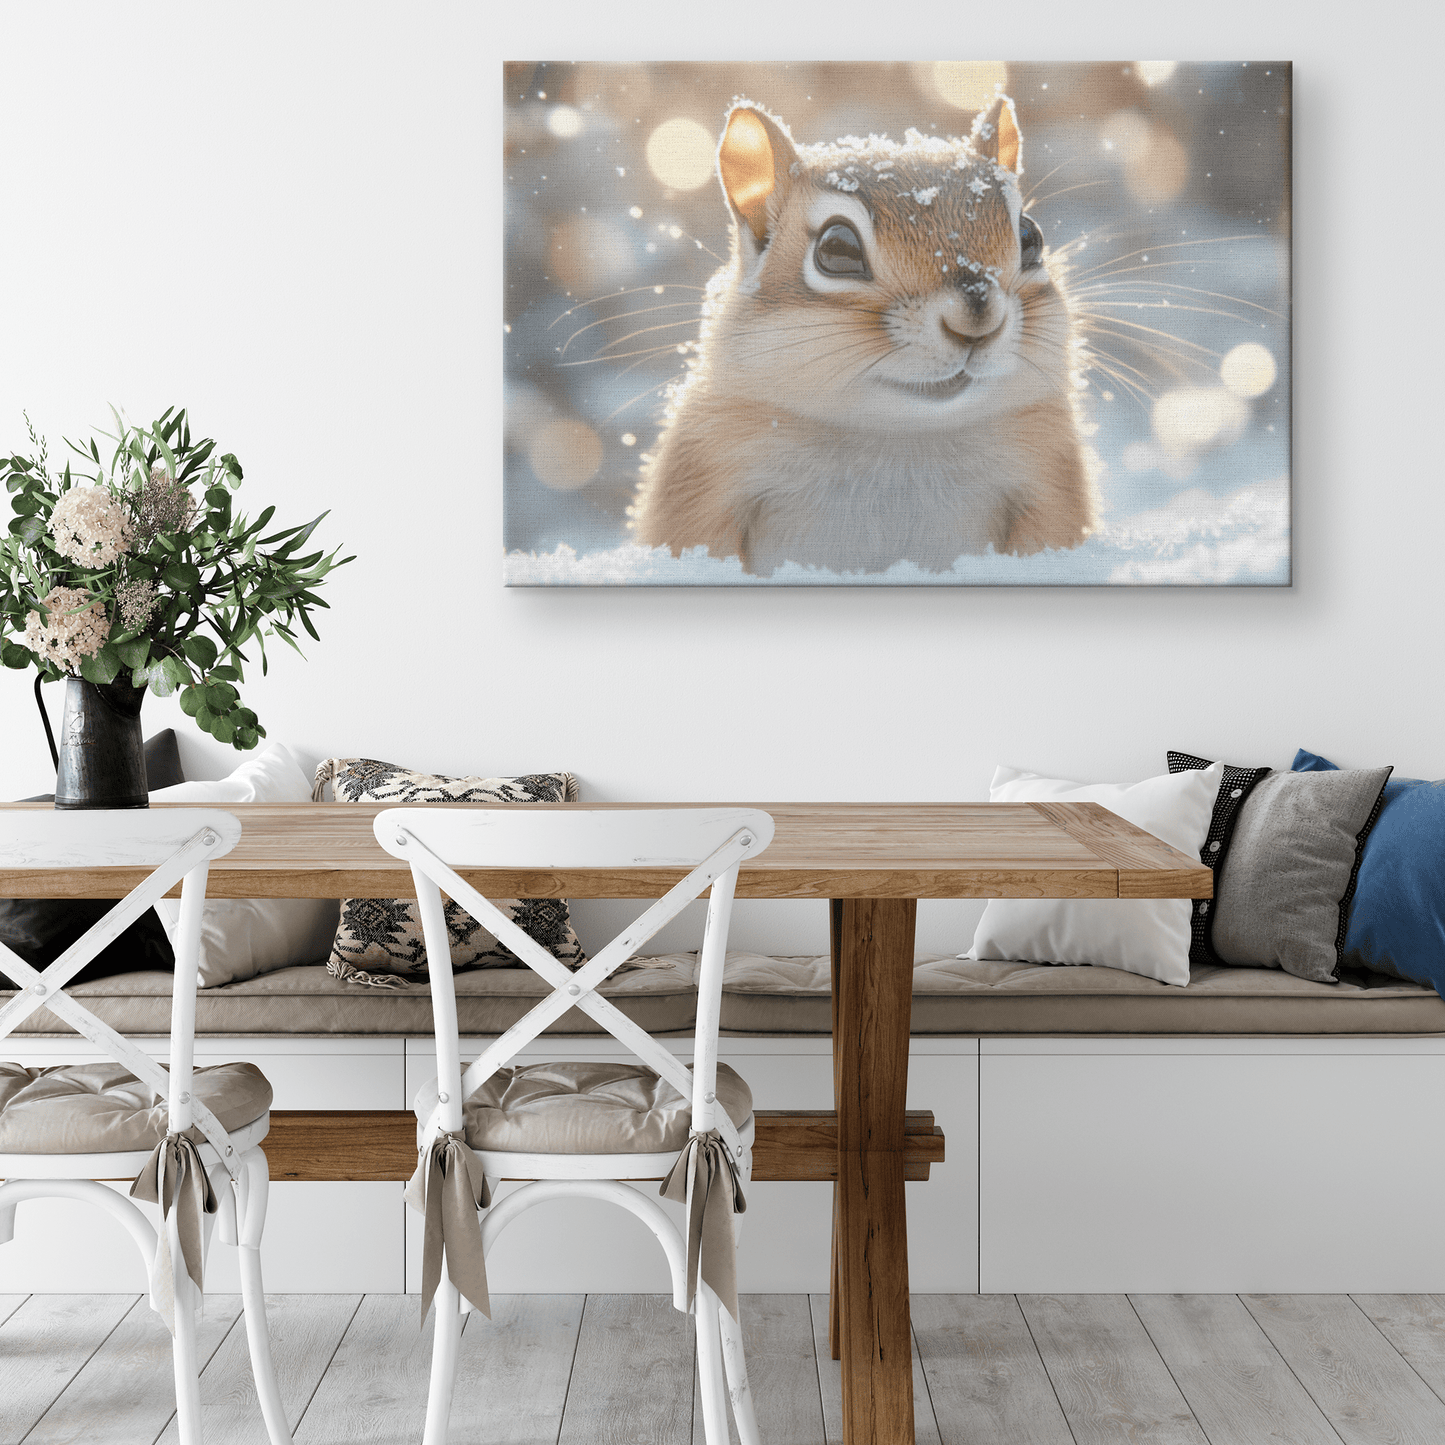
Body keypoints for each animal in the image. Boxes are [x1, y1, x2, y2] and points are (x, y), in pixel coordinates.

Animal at [628, 96, 1101, 575]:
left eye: (1030, 235)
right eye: (837, 249)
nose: (977, 322)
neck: (897, 438)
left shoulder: (1048, 476)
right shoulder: (705, 473)